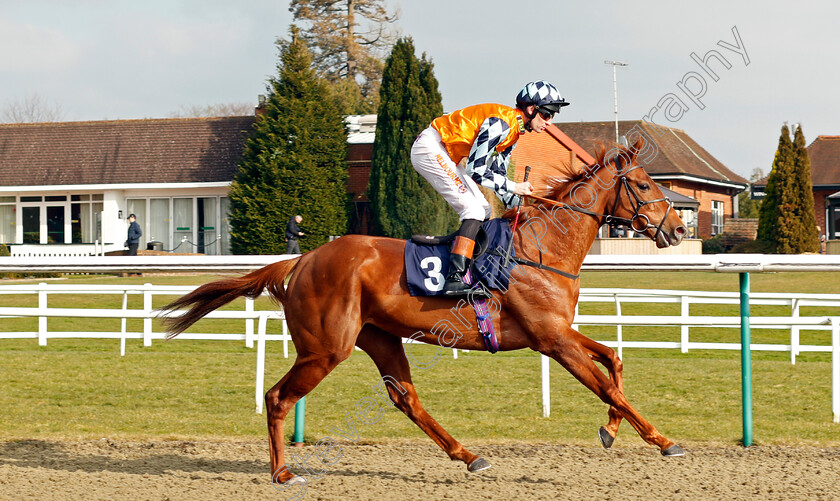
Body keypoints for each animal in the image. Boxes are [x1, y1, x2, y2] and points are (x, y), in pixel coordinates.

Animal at [159, 138, 688, 484]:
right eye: (643, 186)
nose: (679, 229)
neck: (542, 248)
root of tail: (304, 258)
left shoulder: (558, 332)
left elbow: (614, 361)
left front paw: (609, 431)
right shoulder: (551, 339)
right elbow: (609, 386)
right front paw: (664, 441)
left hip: (379, 337)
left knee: (406, 398)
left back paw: (467, 454)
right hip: (326, 348)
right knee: (277, 397)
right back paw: (283, 472)